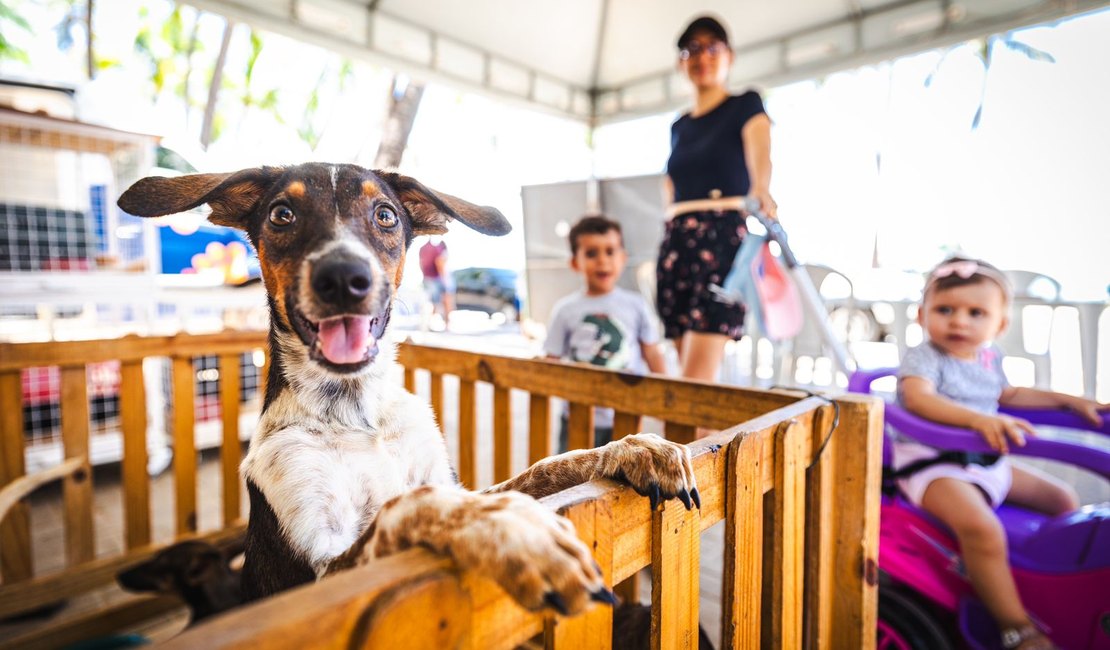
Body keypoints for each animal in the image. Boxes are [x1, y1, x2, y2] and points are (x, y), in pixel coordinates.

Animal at [117, 164, 697, 616]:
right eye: (282, 215)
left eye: (386, 215)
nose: (343, 277)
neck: (354, 411)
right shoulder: (321, 576)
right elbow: (413, 505)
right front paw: (511, 530)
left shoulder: (454, 478)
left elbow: (542, 468)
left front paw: (632, 447)